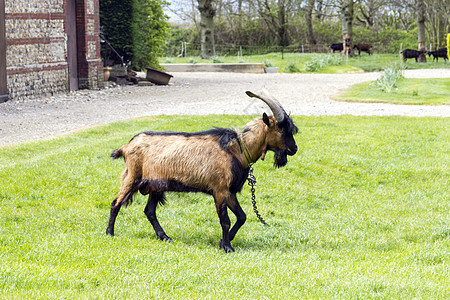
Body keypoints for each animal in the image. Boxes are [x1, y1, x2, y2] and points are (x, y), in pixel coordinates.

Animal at [106, 89, 298, 253]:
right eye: (281, 129)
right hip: (133, 177)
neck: (237, 149)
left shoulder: (230, 192)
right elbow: (225, 221)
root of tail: (127, 146)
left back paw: (165, 237)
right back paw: (110, 233)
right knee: (116, 202)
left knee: (149, 211)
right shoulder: (220, 190)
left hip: (155, 185)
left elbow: (242, 217)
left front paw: (223, 242)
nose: (294, 149)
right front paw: (228, 247)